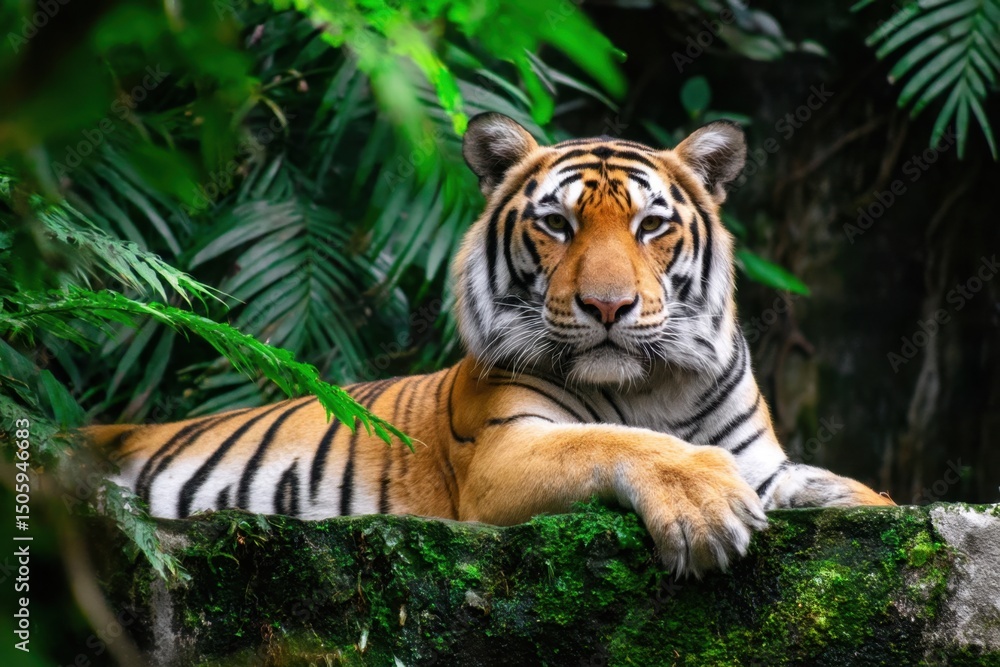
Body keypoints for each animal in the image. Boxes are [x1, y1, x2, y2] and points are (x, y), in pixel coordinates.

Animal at [82, 112, 893, 578]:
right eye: (558, 225)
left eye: (651, 226)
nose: (607, 305)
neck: (650, 386)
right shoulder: (505, 450)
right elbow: (616, 441)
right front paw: (704, 505)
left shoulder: (765, 464)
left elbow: (845, 489)